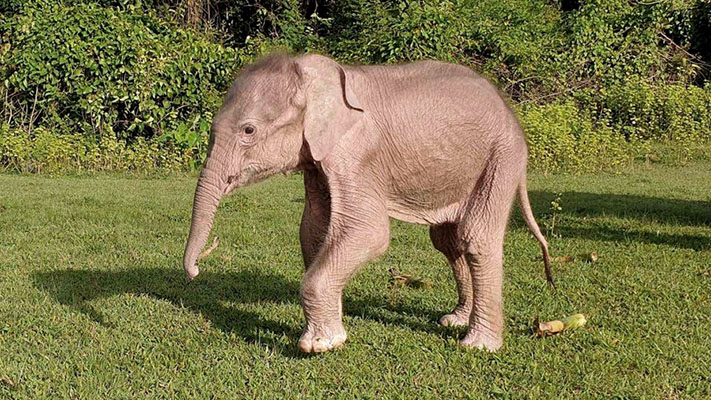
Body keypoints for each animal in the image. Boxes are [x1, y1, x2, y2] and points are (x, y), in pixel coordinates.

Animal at [182, 53, 552, 354]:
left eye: (248, 131)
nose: (196, 271)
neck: (313, 73)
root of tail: (510, 110)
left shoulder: (357, 154)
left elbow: (368, 231)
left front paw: (320, 345)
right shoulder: (318, 159)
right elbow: (313, 229)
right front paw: (330, 329)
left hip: (502, 156)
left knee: (476, 237)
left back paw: (478, 345)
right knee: (447, 240)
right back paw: (455, 321)